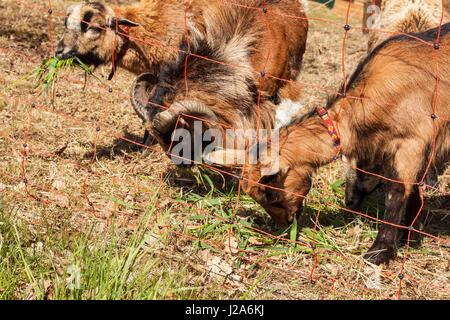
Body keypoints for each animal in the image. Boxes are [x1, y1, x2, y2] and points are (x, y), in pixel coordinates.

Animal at [207, 23, 450, 264]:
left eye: (271, 193)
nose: (286, 225)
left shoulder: (413, 143)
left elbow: (398, 192)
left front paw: (379, 252)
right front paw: (409, 233)